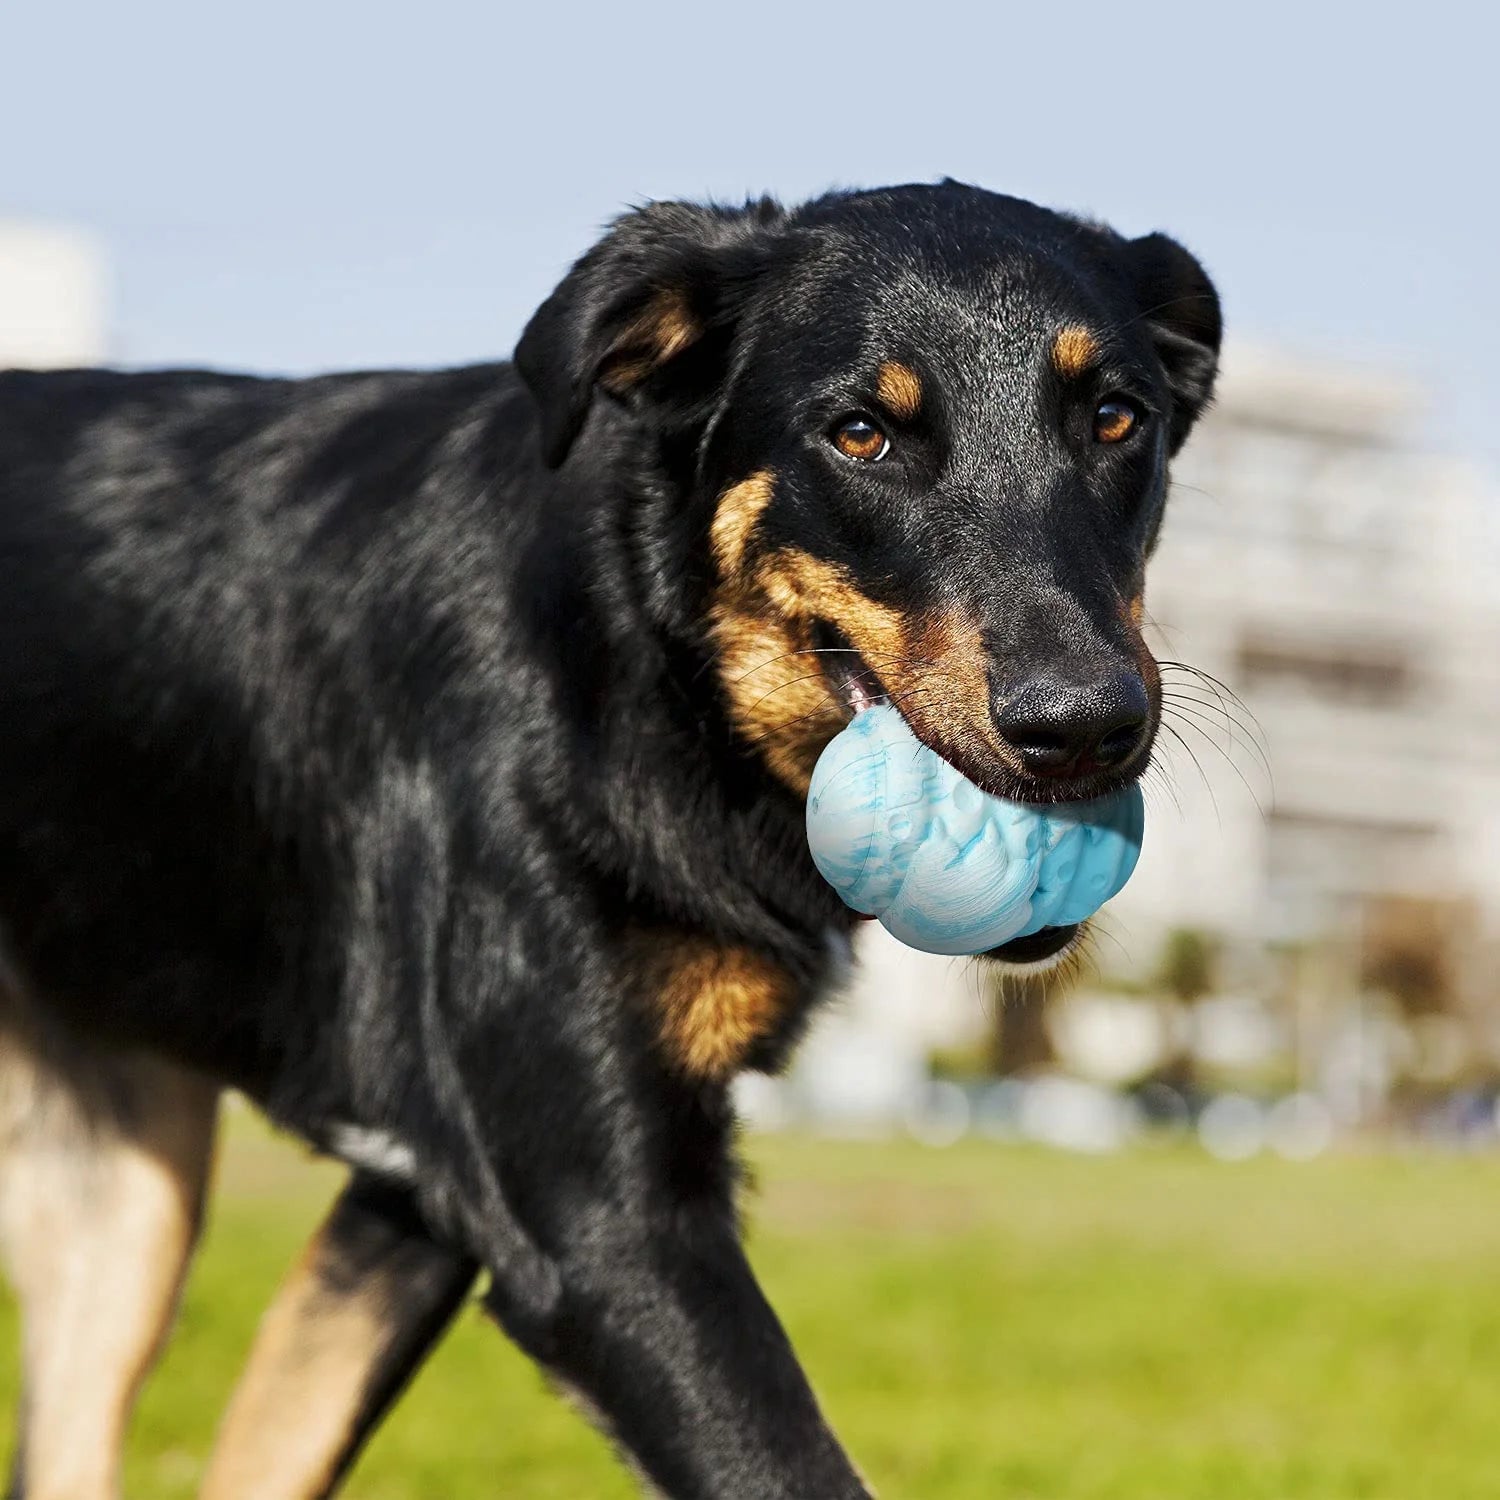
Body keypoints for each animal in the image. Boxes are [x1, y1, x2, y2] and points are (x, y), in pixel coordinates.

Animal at [0, 181, 1218, 1494]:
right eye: (859, 434)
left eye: (1115, 420)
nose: (1085, 728)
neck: (643, 648)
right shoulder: (602, 1225)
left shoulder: (414, 1203)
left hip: (127, 1198)